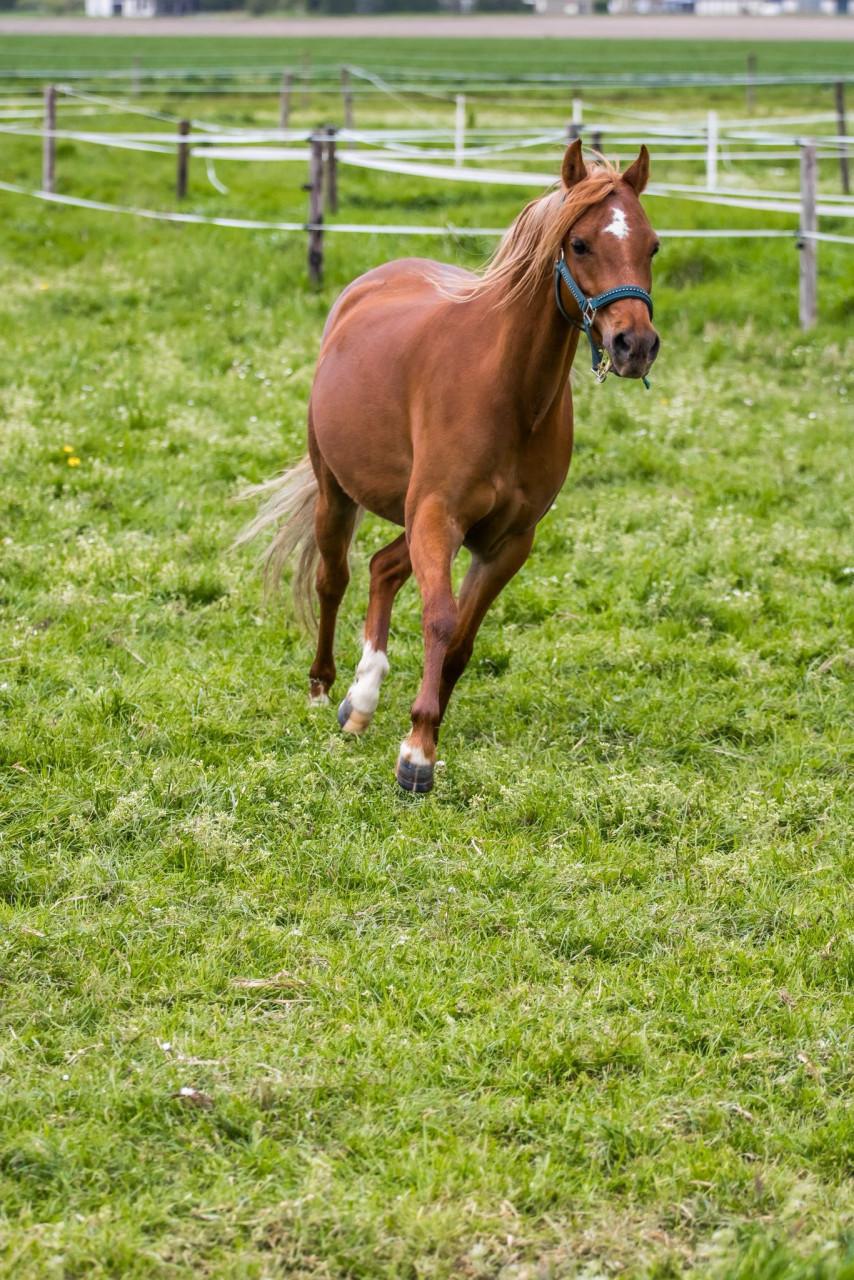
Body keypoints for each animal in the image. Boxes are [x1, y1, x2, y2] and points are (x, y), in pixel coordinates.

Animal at [238, 140, 660, 794]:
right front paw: (415, 755)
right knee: (333, 580)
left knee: (383, 569)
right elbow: (439, 621)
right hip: (340, 495)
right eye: (581, 243)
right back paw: (324, 688)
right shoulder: (439, 516)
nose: (634, 346)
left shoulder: (506, 541)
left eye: (652, 246)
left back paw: (361, 699)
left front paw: (422, 735)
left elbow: (461, 641)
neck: (509, 393)